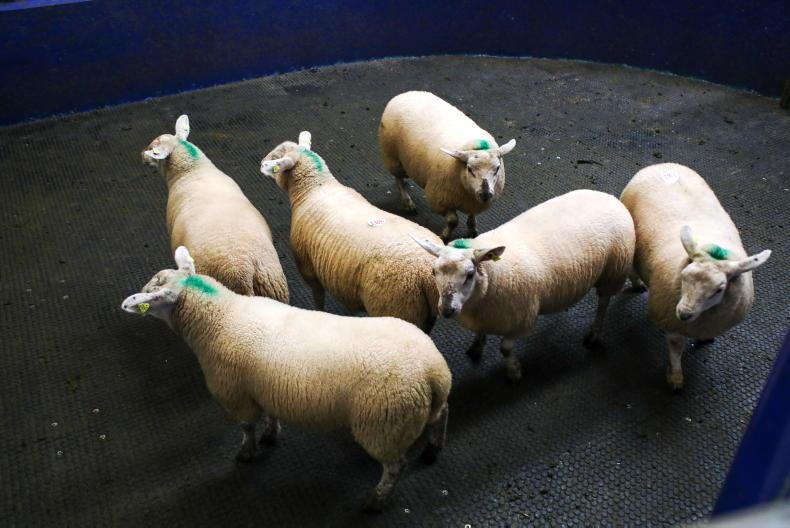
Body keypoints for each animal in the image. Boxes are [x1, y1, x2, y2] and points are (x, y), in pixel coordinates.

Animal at [121, 246, 452, 512]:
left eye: (155, 292)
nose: (133, 304)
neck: (220, 318)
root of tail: (433, 372)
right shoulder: (260, 386)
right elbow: (269, 416)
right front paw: (271, 434)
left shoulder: (236, 395)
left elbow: (246, 428)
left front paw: (247, 453)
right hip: (418, 410)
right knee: (441, 417)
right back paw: (433, 450)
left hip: (383, 424)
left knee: (395, 467)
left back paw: (376, 501)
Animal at [259, 131, 441, 332]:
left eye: (277, 157)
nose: (262, 162)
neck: (315, 187)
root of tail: (425, 273)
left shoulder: (308, 268)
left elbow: (318, 298)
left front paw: (319, 312)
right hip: (423, 313)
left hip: (398, 307)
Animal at [378, 91, 517, 242]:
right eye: (469, 169)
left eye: (497, 168)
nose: (485, 194)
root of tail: (405, 94)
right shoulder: (439, 199)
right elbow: (453, 221)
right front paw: (445, 236)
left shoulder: (473, 202)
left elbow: (472, 216)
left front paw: (472, 229)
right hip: (392, 156)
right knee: (398, 179)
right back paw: (408, 202)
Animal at [413, 189, 635, 383]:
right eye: (433, 272)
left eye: (469, 274)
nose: (446, 310)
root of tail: (609, 196)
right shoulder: (485, 316)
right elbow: (480, 333)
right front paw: (477, 347)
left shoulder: (521, 319)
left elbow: (505, 348)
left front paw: (513, 372)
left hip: (613, 271)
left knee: (604, 301)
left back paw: (594, 332)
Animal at [620, 163, 772, 390]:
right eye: (684, 277)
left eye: (719, 289)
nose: (684, 313)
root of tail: (662, 165)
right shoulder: (671, 320)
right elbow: (676, 347)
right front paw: (675, 378)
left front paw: (705, 340)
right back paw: (637, 283)